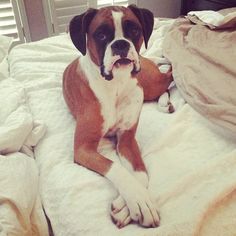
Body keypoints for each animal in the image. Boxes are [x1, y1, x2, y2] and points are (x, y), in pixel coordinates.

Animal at [63, 4, 171, 229]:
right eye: (101, 34)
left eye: (134, 30)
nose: (121, 44)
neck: (116, 85)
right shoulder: (83, 149)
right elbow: (115, 167)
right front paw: (138, 200)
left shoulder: (127, 140)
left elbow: (141, 173)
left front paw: (127, 206)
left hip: (149, 83)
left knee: (169, 76)